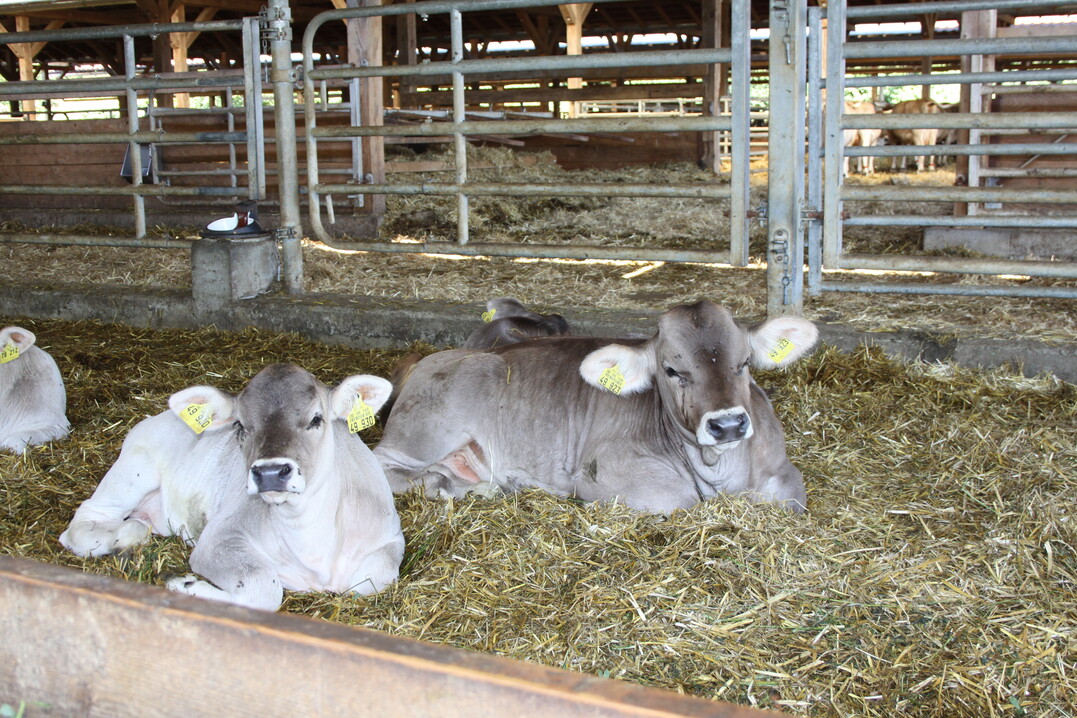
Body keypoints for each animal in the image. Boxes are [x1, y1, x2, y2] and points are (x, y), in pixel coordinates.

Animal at [60, 363, 404, 611]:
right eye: (240, 424)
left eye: (316, 419)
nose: (270, 472)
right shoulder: (217, 538)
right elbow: (264, 589)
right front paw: (184, 584)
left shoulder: (389, 540)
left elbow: (368, 582)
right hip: (133, 471)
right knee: (84, 520)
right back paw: (123, 536)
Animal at [374, 300, 818, 514]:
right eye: (672, 369)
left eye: (743, 363)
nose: (727, 425)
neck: (718, 469)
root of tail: (428, 358)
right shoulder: (606, 473)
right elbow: (680, 499)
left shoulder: (784, 474)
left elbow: (791, 496)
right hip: (423, 434)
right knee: (382, 465)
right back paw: (446, 485)